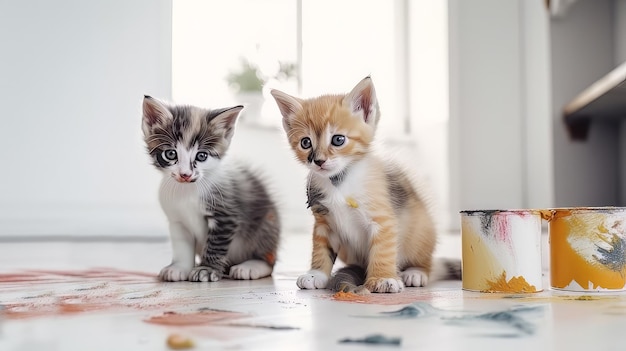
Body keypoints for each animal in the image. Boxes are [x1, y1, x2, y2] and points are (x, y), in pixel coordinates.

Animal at [143, 95, 280, 284]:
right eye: (170, 154)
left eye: (201, 156)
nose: (185, 175)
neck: (188, 190)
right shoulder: (177, 221)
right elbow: (182, 246)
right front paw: (179, 268)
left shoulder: (226, 215)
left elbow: (215, 245)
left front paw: (206, 270)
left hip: (266, 223)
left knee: (269, 260)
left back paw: (250, 266)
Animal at [270, 77, 458, 294]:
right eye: (305, 143)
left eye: (338, 139)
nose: (319, 161)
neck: (339, 182)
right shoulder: (324, 224)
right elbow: (321, 248)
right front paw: (315, 274)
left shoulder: (383, 219)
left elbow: (382, 249)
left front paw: (383, 278)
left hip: (421, 231)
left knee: (426, 261)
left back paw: (416, 272)